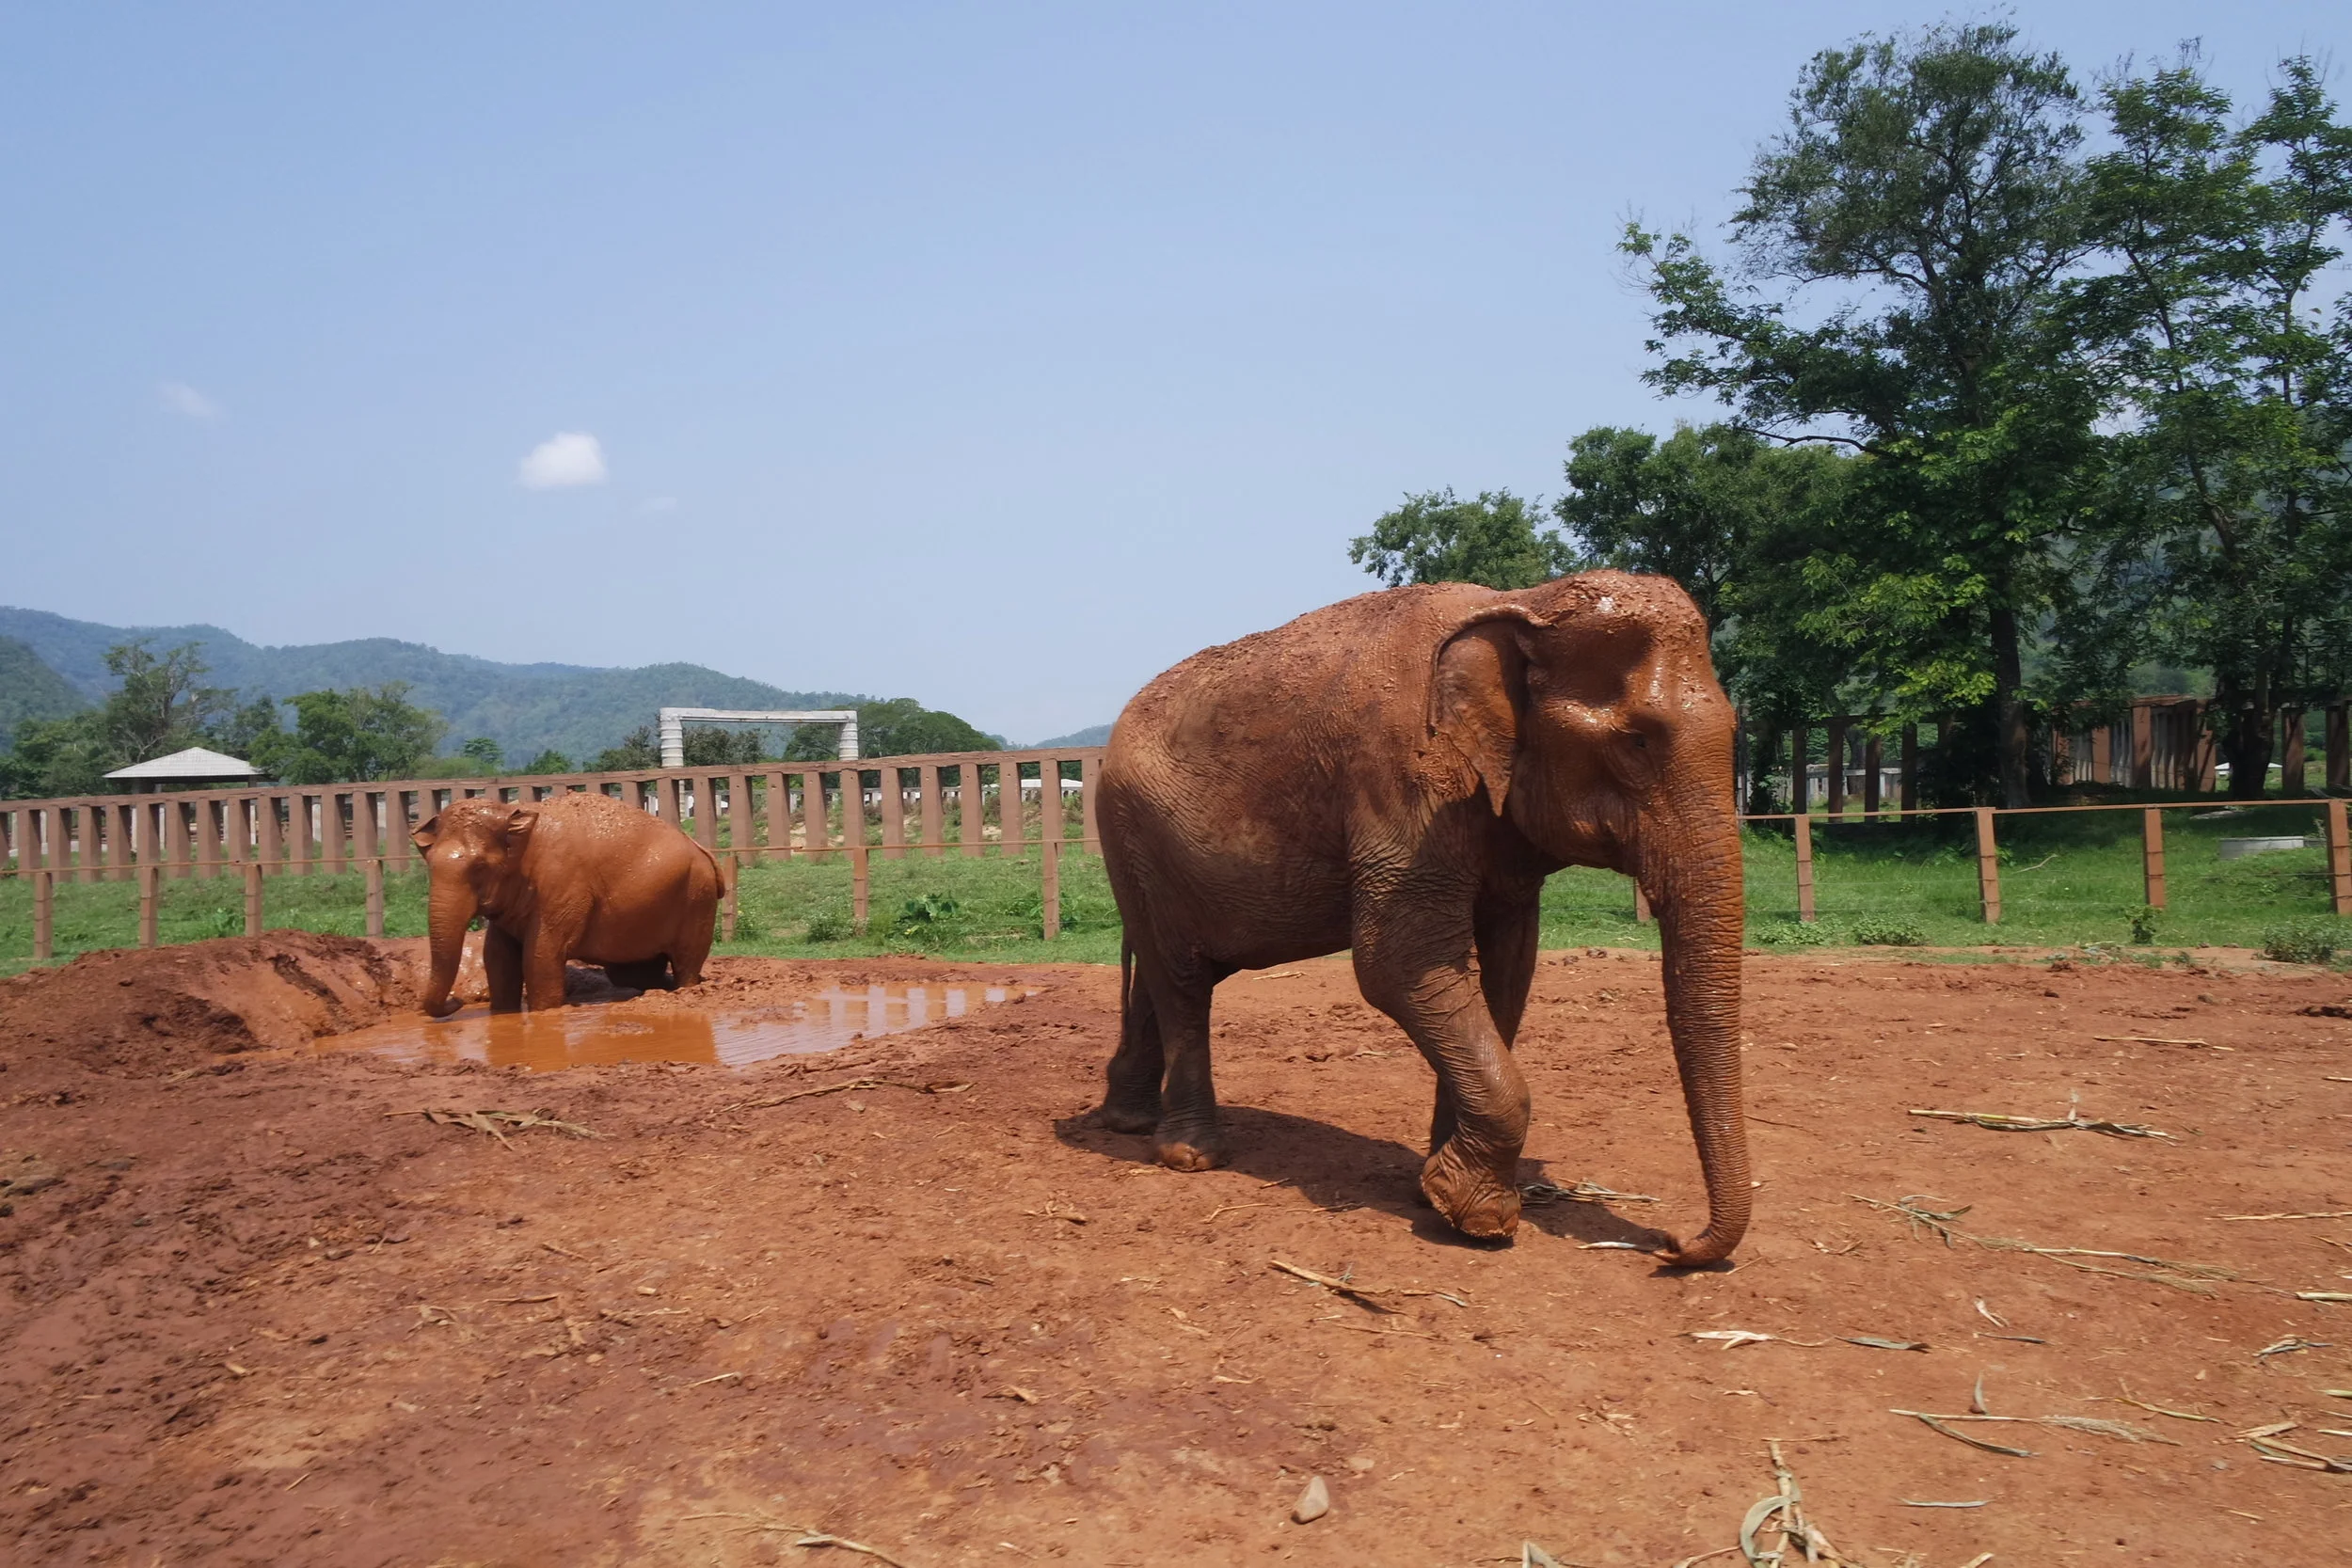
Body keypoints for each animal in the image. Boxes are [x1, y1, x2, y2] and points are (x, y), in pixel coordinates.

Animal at [412, 790, 723, 1017]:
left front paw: (543, 1013)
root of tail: (703, 850)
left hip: (697, 898)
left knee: (686, 962)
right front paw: (502, 1014)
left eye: (479, 867)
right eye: (429, 864)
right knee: (634, 972)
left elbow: (541, 956)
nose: (456, 1001)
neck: (512, 813)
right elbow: (497, 957)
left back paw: (685, 989)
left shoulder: (561, 885)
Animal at [1095, 569, 1750, 1265]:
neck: (1524, 602)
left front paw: (1434, 1193)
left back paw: (1127, 1122)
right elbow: (1398, 961)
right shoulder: (1404, 777)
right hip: (1131, 834)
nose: (1673, 1244)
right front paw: (1482, 1220)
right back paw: (1191, 1156)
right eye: (1636, 740)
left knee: (1171, 972)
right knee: (1182, 979)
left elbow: (1508, 970)